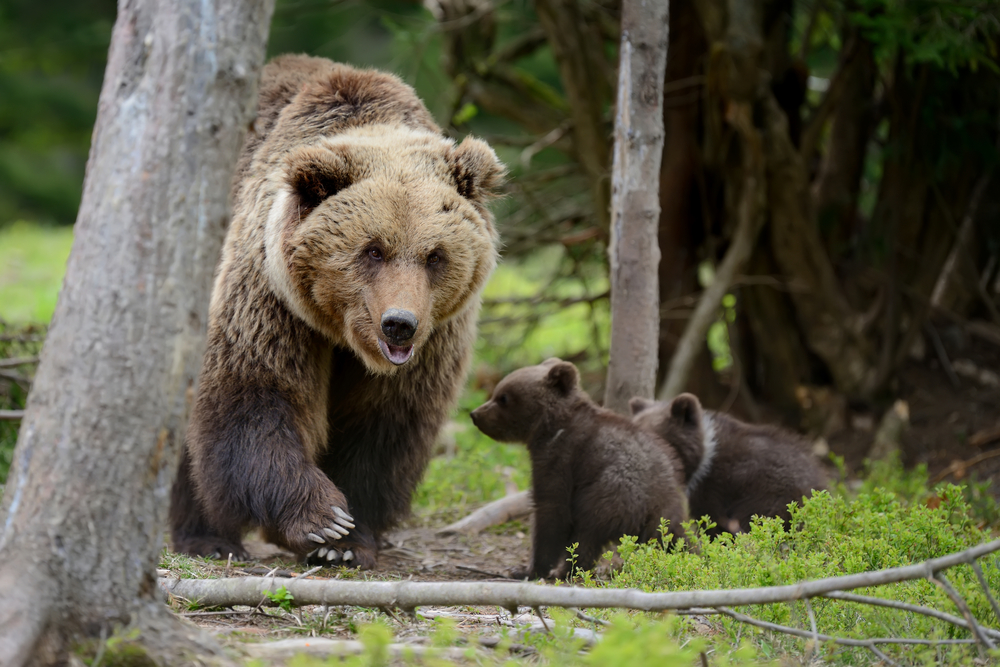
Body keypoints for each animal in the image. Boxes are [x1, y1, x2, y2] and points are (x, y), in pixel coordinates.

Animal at [169, 54, 504, 569]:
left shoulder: (433, 342)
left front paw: (348, 539)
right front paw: (322, 519)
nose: (400, 325)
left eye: (435, 255)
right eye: (373, 250)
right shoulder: (272, 299)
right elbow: (254, 395)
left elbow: (380, 430)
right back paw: (205, 537)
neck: (344, 335)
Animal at [470, 359, 688, 579]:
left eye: (503, 397)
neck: (550, 426)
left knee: (588, 531)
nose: (475, 414)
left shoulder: (560, 458)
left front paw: (528, 569)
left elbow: (551, 509)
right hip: (667, 510)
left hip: (611, 492)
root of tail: (655, 505)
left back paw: (567, 570)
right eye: (497, 392)